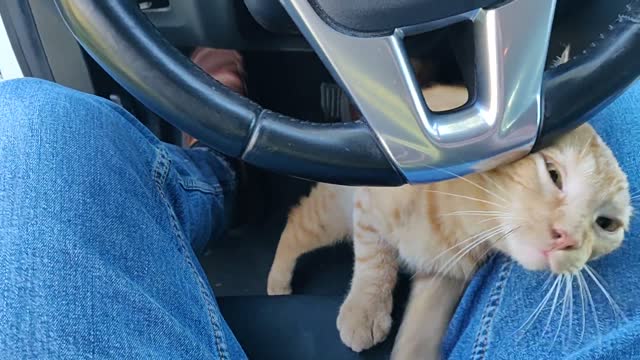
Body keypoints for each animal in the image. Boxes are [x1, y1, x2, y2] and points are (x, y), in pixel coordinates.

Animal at [268, 83, 632, 358]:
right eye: (554, 174)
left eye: (607, 224)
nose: (567, 238)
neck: (465, 217)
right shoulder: (369, 208)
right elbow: (375, 262)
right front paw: (365, 309)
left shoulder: (445, 275)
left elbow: (422, 329)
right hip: (332, 213)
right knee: (295, 224)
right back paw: (277, 282)